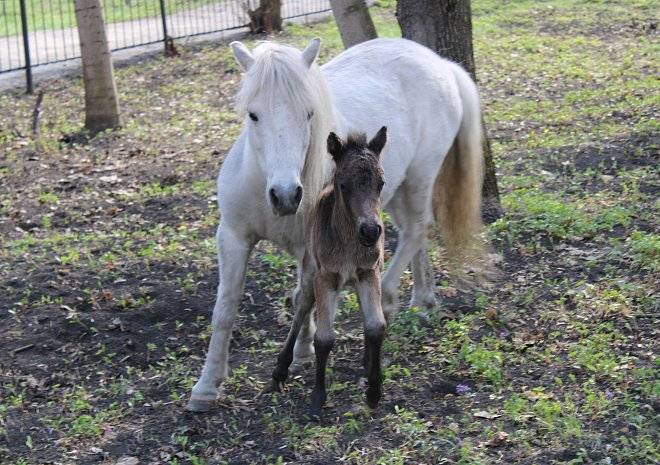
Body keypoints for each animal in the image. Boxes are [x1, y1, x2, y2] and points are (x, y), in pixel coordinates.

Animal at [270, 125, 390, 418]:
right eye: (343, 185)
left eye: (381, 183)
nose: (371, 231)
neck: (348, 243)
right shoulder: (326, 278)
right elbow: (323, 338)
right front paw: (317, 399)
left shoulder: (369, 273)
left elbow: (376, 325)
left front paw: (374, 390)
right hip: (310, 272)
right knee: (302, 306)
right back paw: (280, 371)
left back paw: (367, 363)